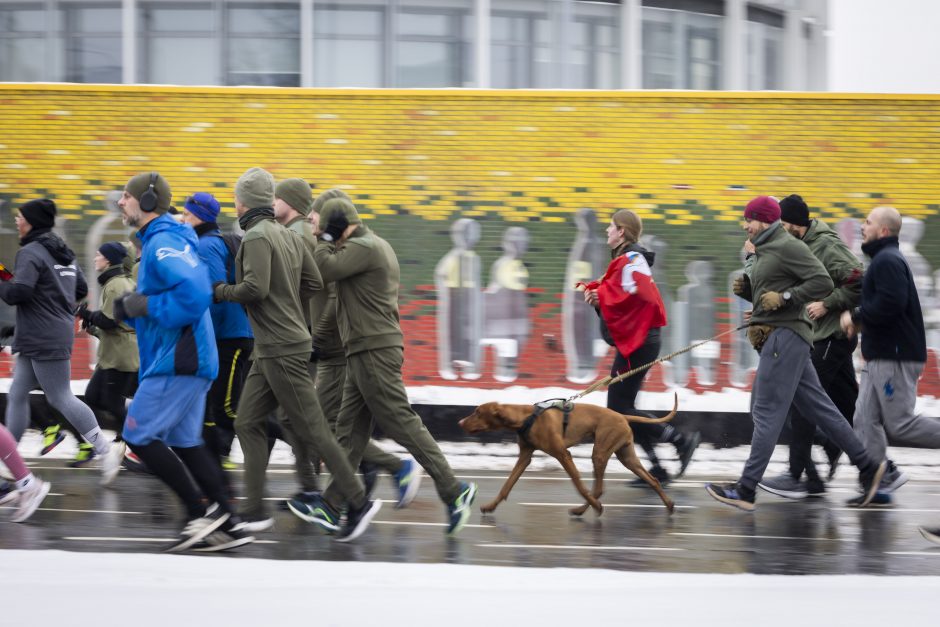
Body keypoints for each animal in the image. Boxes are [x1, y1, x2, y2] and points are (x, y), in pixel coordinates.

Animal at [456, 394, 676, 516]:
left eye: (477, 412)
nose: (459, 423)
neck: (525, 417)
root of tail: (622, 415)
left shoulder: (563, 454)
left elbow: (579, 485)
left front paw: (596, 506)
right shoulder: (525, 457)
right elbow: (506, 486)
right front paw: (490, 506)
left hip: (600, 454)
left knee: (598, 489)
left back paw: (587, 508)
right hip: (626, 457)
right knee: (653, 479)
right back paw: (670, 505)